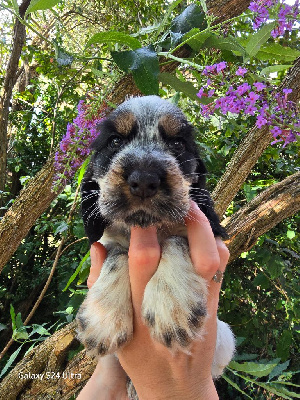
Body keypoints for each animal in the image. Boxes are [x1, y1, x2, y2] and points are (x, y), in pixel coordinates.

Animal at [75, 95, 234, 380]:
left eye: (177, 144)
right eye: (115, 141)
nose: (144, 180)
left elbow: (175, 240)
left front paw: (172, 308)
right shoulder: (109, 243)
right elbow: (117, 256)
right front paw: (102, 320)